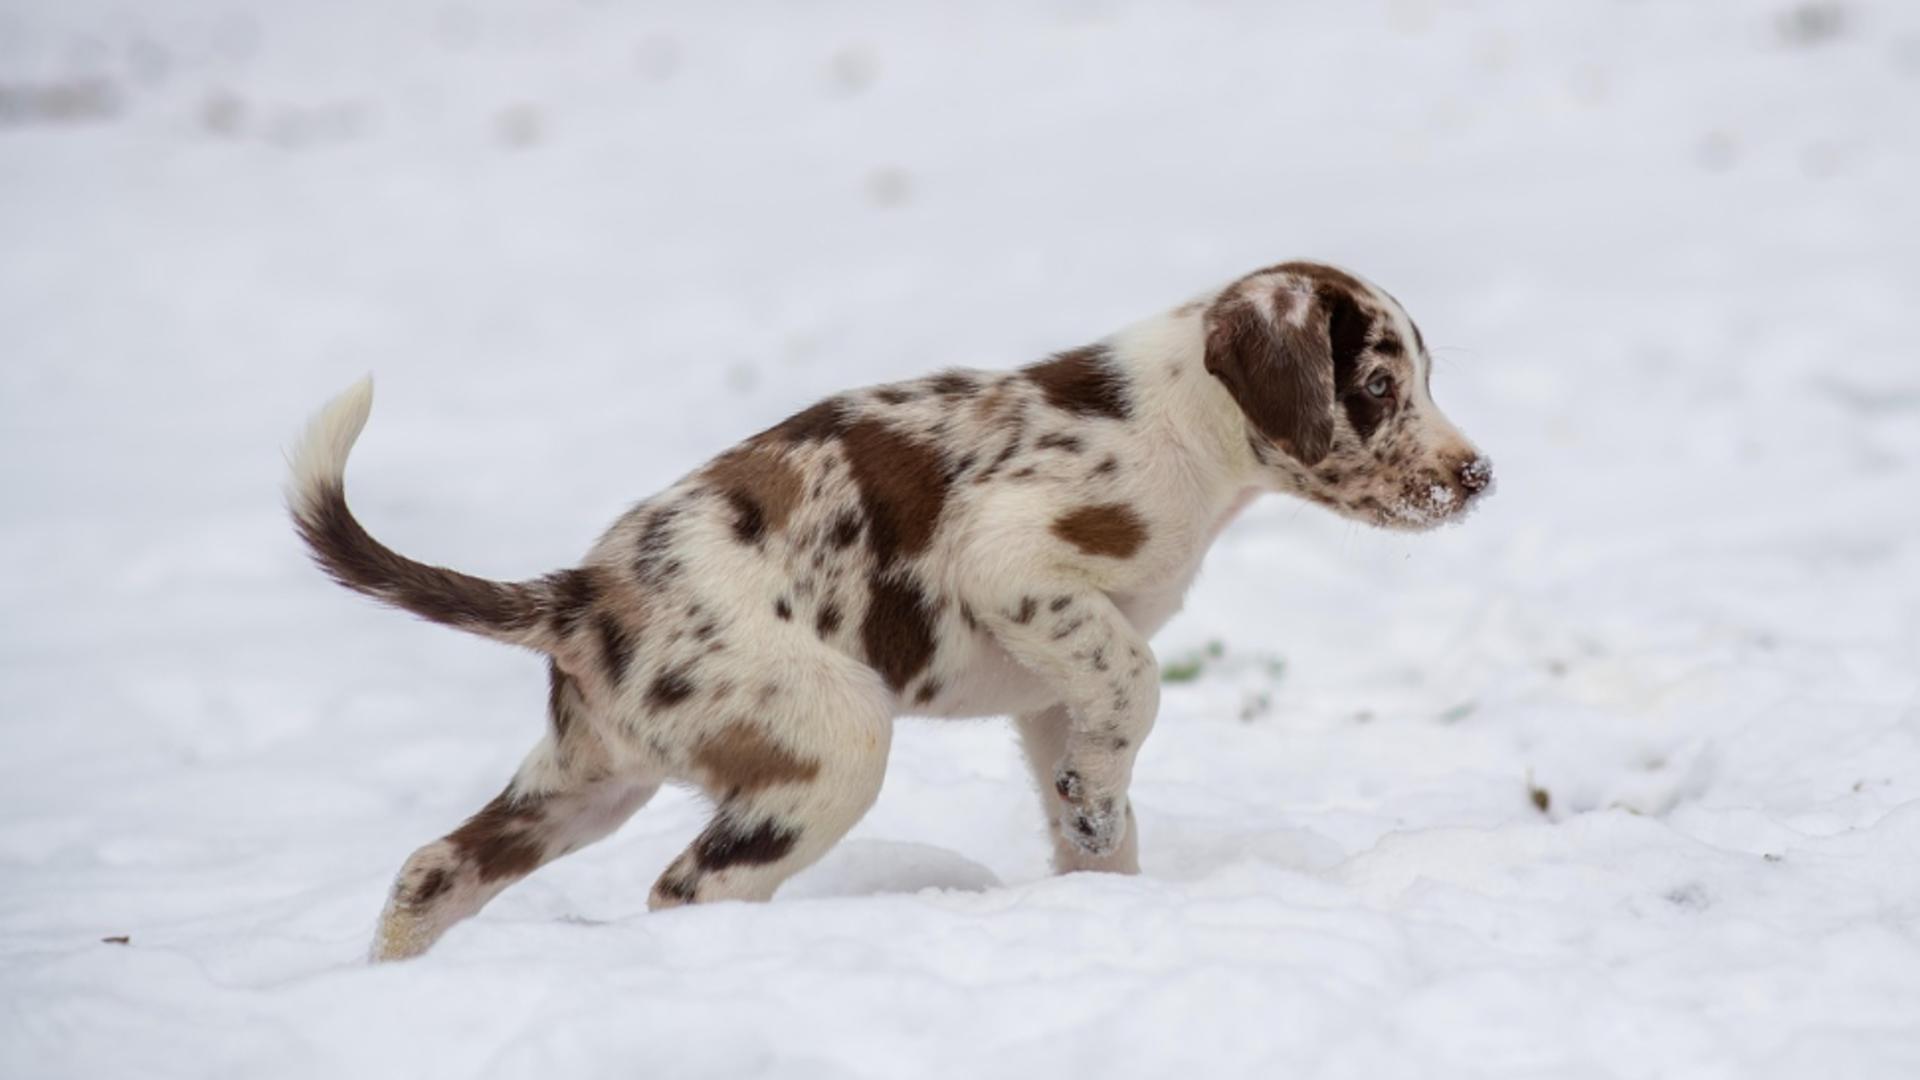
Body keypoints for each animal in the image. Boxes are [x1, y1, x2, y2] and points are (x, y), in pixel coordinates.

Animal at [284, 261, 1489, 957]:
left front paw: (1103, 869)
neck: (1183, 424)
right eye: (1379, 386)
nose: (1478, 478)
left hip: (590, 781)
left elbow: (1098, 790)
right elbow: (1140, 689)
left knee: (434, 869)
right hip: (833, 745)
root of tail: (579, 596)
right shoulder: (1015, 565)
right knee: (686, 892)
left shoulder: (1052, 691)